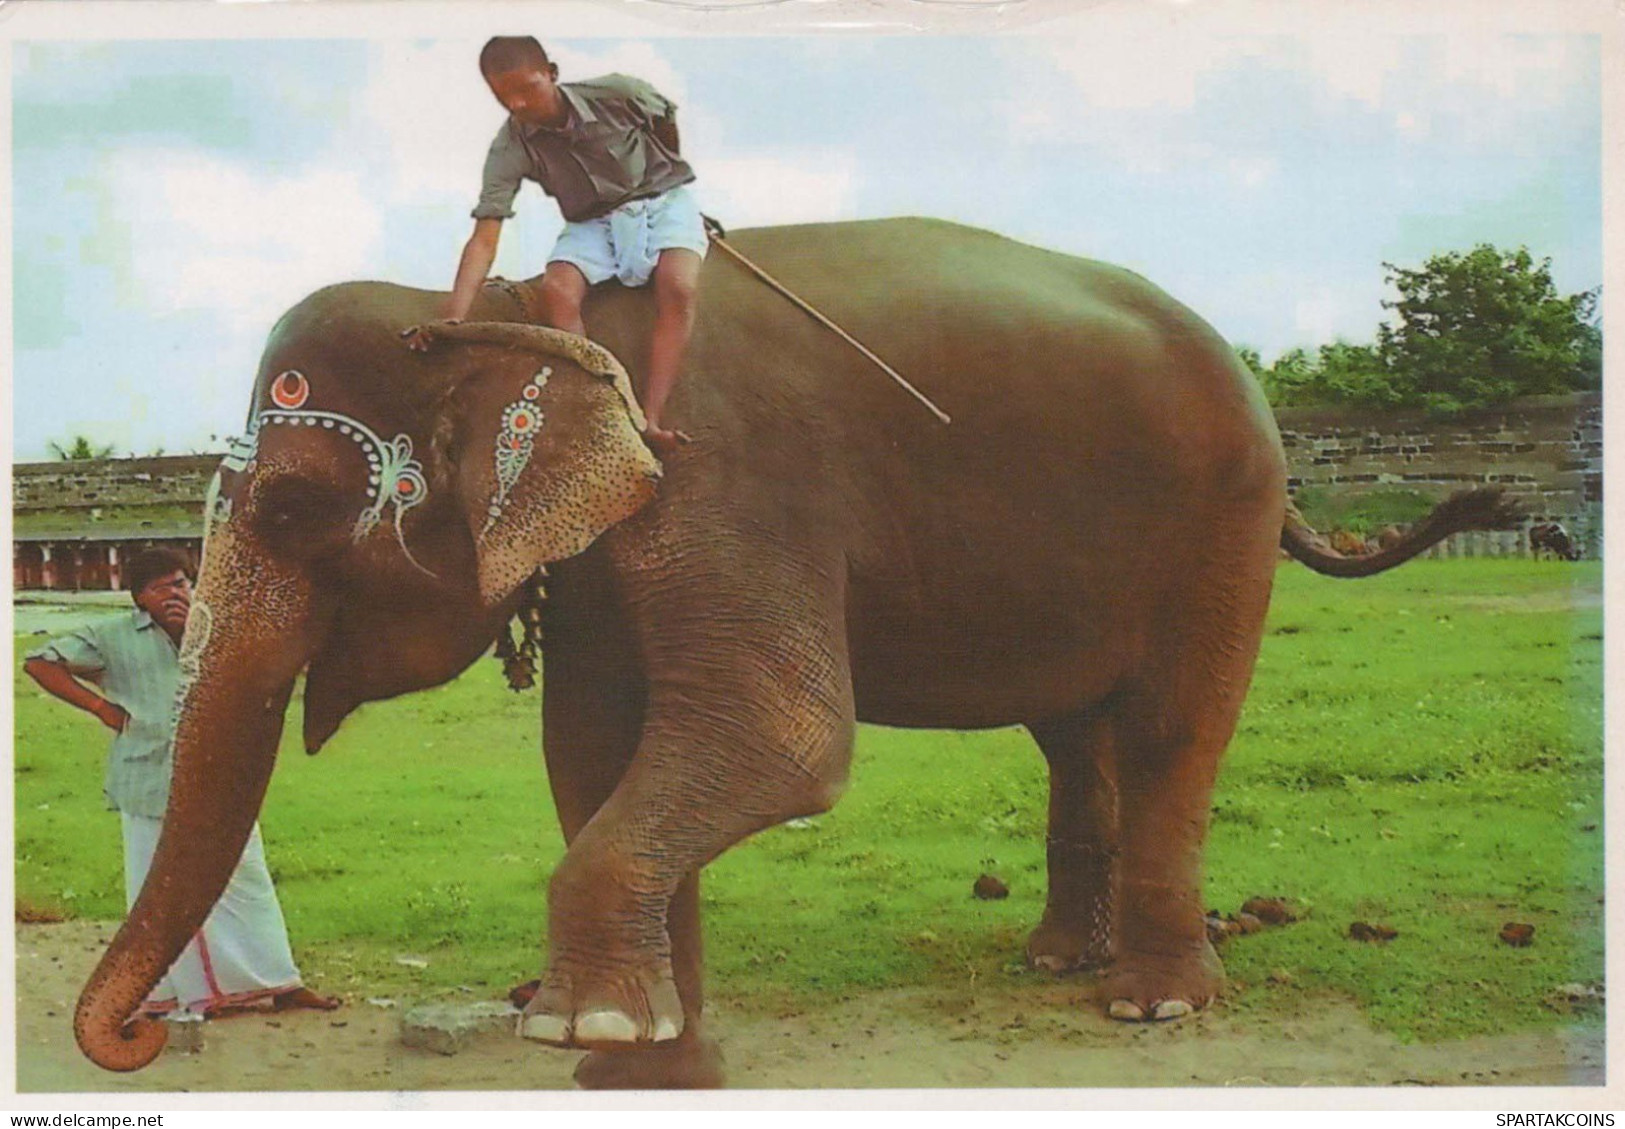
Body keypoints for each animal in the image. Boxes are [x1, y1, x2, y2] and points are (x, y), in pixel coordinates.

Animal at [69, 216, 1514, 1091]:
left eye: (289, 513)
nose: (135, 1036)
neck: (502, 309)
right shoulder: (620, 531)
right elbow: (591, 745)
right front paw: (647, 1038)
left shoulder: (726, 475)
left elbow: (779, 737)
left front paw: (586, 1025)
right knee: (1073, 732)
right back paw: (1059, 960)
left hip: (1219, 521)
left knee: (1168, 727)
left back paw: (1151, 1005)